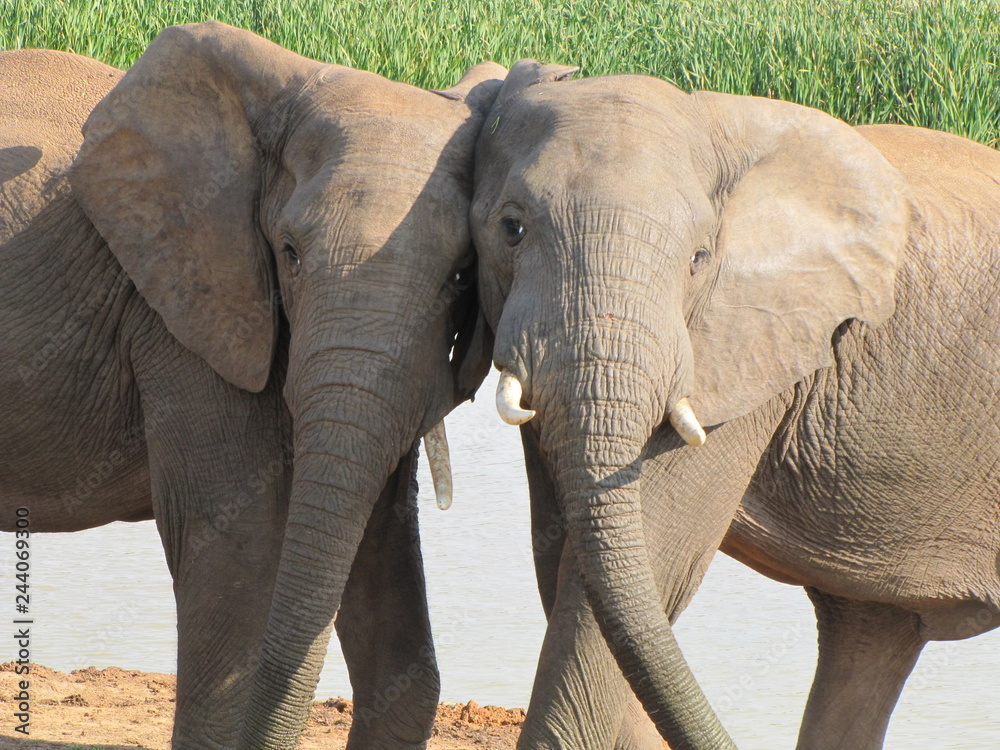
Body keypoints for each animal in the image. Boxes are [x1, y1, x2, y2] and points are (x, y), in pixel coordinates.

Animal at [470, 60, 1000, 750]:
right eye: (511, 228)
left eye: (699, 258)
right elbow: (579, 565)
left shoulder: (748, 353)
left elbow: (644, 567)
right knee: (870, 636)